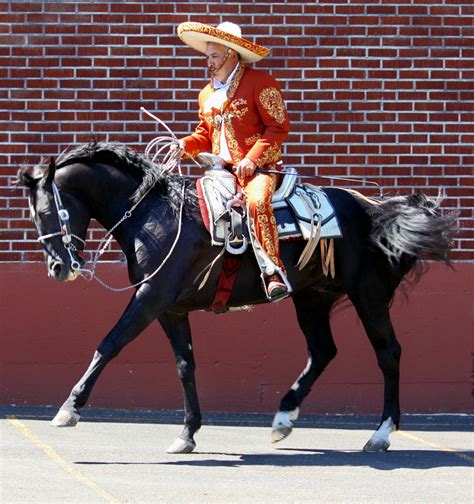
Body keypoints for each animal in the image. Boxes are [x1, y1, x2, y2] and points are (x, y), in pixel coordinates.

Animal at [16, 141, 454, 452]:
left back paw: (381, 433)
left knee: (388, 354)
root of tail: (377, 210)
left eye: (48, 212)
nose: (58, 268)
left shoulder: (150, 297)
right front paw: (188, 432)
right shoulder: (170, 309)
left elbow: (108, 344)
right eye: (35, 215)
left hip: (369, 296)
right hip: (312, 298)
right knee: (322, 351)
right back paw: (283, 419)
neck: (153, 215)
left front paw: (69, 408)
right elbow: (185, 365)